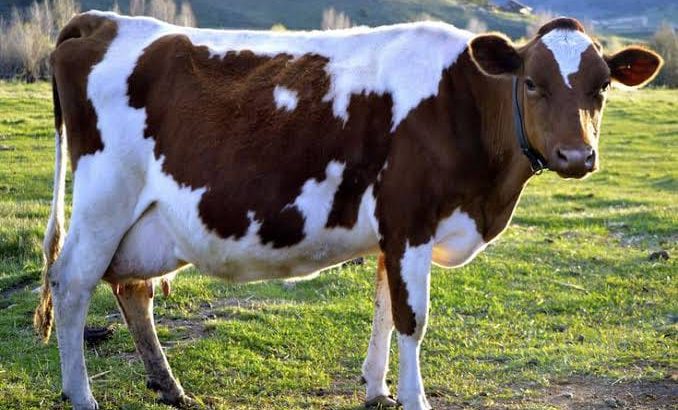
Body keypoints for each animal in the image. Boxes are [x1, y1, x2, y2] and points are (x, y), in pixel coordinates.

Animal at [33, 11, 662, 410]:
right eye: (531, 82)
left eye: (602, 87)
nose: (577, 155)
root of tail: (102, 20)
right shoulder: (411, 218)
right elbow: (412, 318)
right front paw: (414, 398)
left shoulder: (394, 231)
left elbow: (385, 306)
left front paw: (377, 390)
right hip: (105, 200)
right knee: (72, 284)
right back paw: (82, 396)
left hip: (142, 219)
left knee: (130, 288)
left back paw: (169, 387)